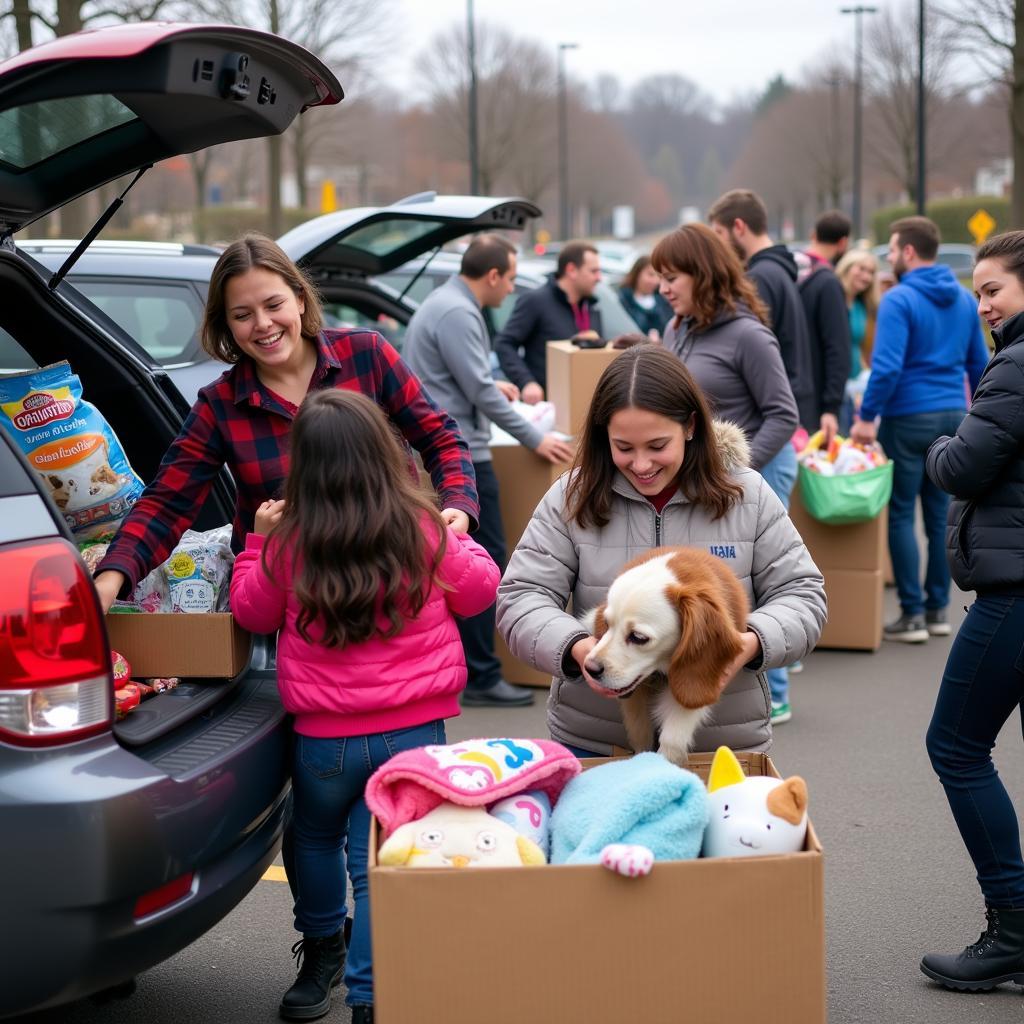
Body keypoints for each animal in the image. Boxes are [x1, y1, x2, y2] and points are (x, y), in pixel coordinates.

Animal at [585, 548, 753, 765]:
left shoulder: (692, 683)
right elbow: (639, 730)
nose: (589, 668)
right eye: (606, 624)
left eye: (638, 637)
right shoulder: (634, 698)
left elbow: (673, 738)